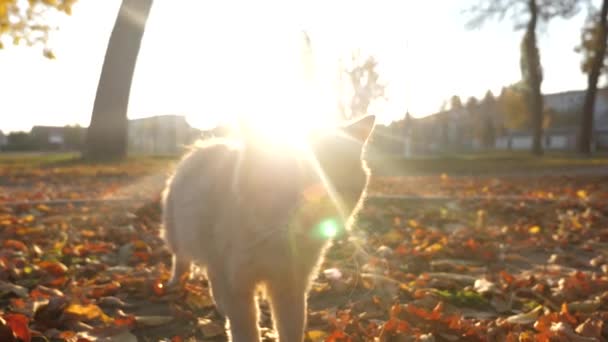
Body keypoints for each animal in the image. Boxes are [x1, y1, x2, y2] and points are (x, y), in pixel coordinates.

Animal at [159, 115, 376, 342]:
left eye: (334, 189)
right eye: (288, 185)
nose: (313, 217)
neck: (274, 242)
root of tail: (200, 147)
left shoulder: (291, 285)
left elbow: (292, 329)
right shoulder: (237, 283)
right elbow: (246, 331)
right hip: (178, 236)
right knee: (181, 262)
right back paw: (175, 285)